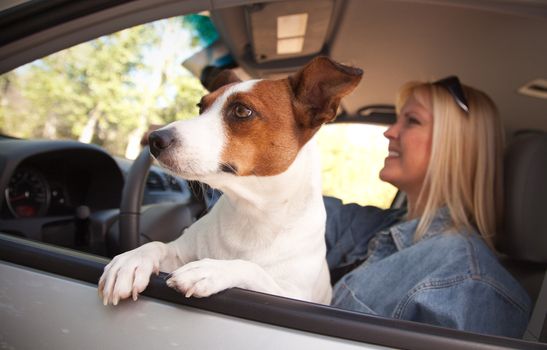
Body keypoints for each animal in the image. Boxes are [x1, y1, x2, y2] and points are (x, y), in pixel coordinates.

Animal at [98, 56, 364, 304]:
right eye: (200, 106)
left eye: (241, 111)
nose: (154, 139)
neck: (251, 213)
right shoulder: (179, 252)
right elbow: (157, 245)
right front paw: (130, 260)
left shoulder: (292, 295)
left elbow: (251, 268)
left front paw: (210, 268)